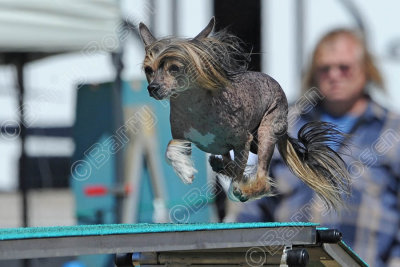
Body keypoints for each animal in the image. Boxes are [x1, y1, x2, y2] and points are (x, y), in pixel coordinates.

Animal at [138, 17, 350, 209]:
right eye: (149, 70)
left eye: (174, 68)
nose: (152, 88)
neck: (193, 106)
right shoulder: (181, 137)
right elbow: (170, 149)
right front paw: (184, 170)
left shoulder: (242, 141)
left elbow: (238, 175)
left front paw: (237, 187)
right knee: (229, 162)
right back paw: (221, 166)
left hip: (266, 131)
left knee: (262, 180)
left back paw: (244, 189)